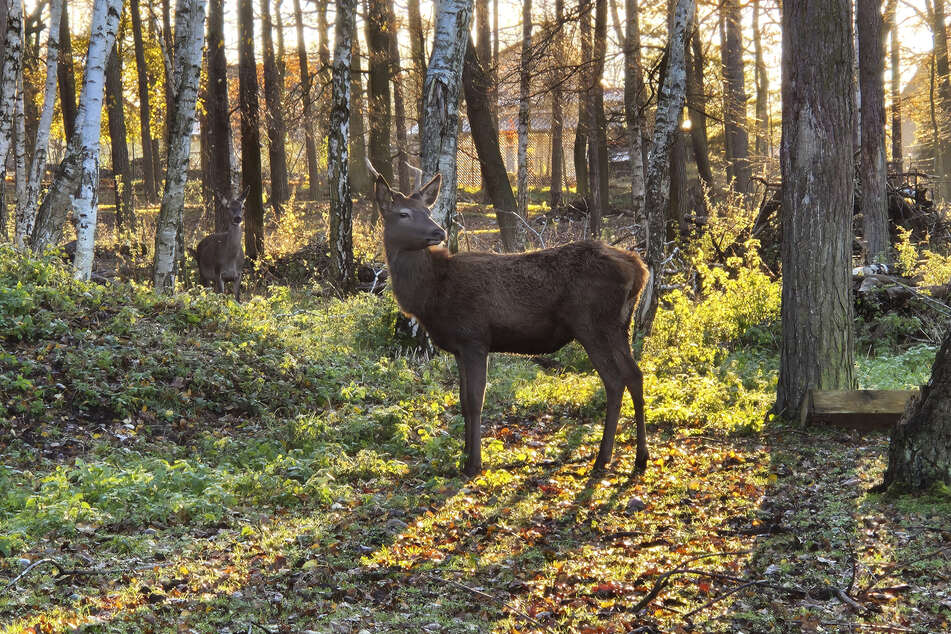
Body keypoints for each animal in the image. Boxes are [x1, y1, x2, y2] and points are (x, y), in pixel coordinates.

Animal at [368, 163, 652, 474]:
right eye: (403, 214)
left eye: (427, 211)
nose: (438, 231)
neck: (431, 294)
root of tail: (640, 269)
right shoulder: (458, 347)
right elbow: (462, 401)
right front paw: (464, 453)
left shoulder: (474, 338)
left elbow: (475, 401)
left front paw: (474, 464)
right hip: (621, 324)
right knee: (635, 375)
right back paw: (640, 457)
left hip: (592, 323)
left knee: (614, 381)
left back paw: (603, 458)